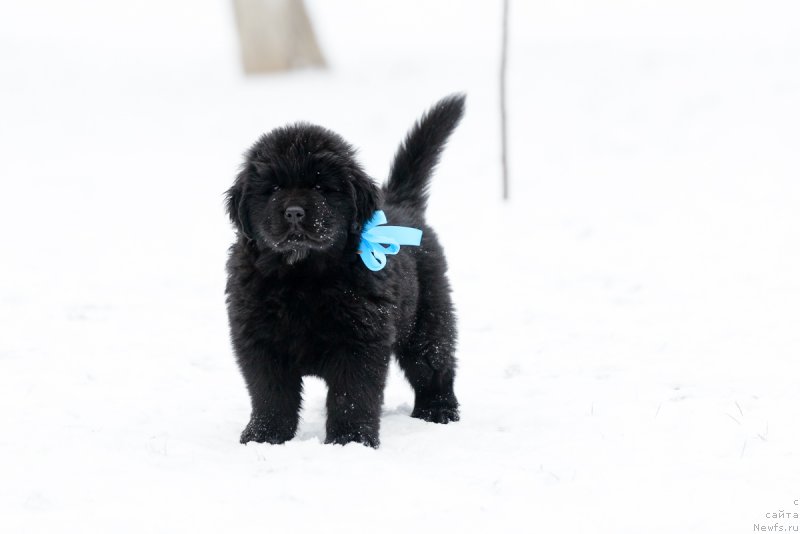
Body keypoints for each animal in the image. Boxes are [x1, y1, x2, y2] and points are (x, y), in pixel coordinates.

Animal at [223, 93, 462, 448]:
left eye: (322, 187)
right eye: (274, 188)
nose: (294, 213)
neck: (301, 277)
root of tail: (401, 203)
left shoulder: (359, 341)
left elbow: (352, 396)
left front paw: (350, 441)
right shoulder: (259, 340)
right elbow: (270, 394)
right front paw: (264, 436)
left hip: (427, 319)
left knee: (435, 365)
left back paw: (438, 411)